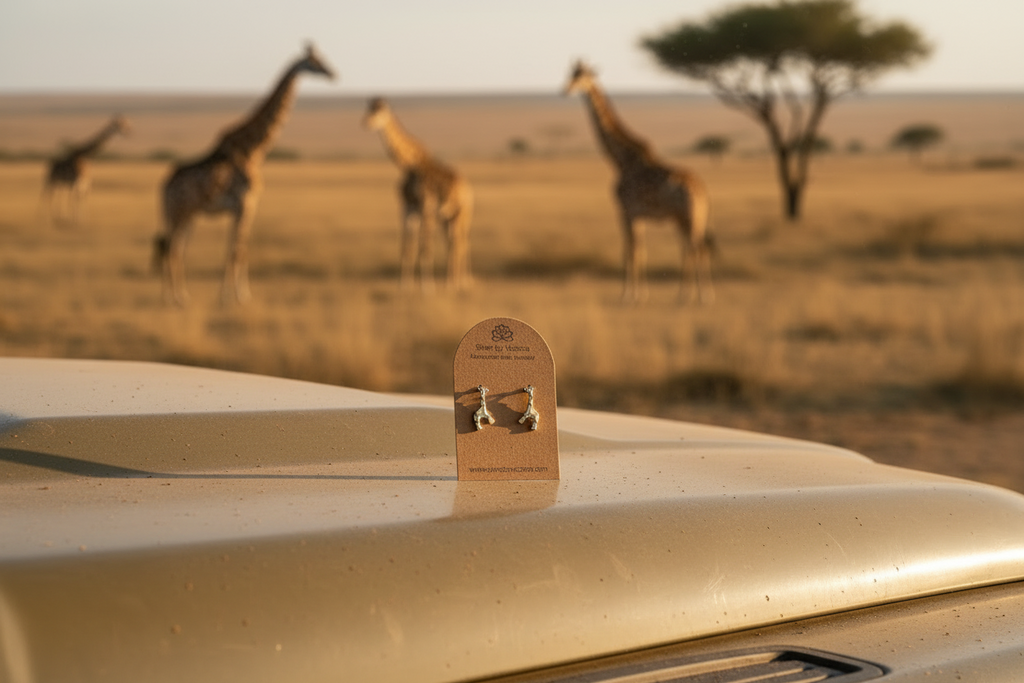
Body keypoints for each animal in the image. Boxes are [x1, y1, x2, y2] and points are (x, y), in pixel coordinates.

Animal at [153, 44, 335, 306]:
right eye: (315, 61)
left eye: (321, 59)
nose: (333, 74)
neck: (254, 149)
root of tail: (164, 187)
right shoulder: (246, 204)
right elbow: (236, 251)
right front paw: (233, 296)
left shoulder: (244, 207)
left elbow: (239, 250)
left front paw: (239, 295)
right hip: (180, 212)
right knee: (173, 249)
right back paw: (177, 298)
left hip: (186, 215)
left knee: (174, 248)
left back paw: (175, 295)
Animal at [363, 97, 473, 292]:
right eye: (369, 108)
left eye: (381, 111)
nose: (365, 122)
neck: (410, 165)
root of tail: (467, 188)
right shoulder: (407, 207)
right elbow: (407, 247)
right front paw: (404, 285)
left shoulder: (426, 206)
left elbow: (425, 247)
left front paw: (427, 286)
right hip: (447, 218)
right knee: (452, 243)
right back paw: (450, 281)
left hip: (463, 214)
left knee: (461, 243)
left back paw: (460, 283)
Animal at [563, 61, 714, 304]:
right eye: (571, 74)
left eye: (582, 77)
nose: (565, 89)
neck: (621, 160)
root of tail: (702, 189)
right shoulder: (638, 215)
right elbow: (640, 251)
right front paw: (641, 294)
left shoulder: (625, 210)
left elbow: (629, 251)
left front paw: (627, 295)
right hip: (690, 218)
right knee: (694, 249)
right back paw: (689, 294)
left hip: (688, 217)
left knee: (696, 249)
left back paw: (700, 296)